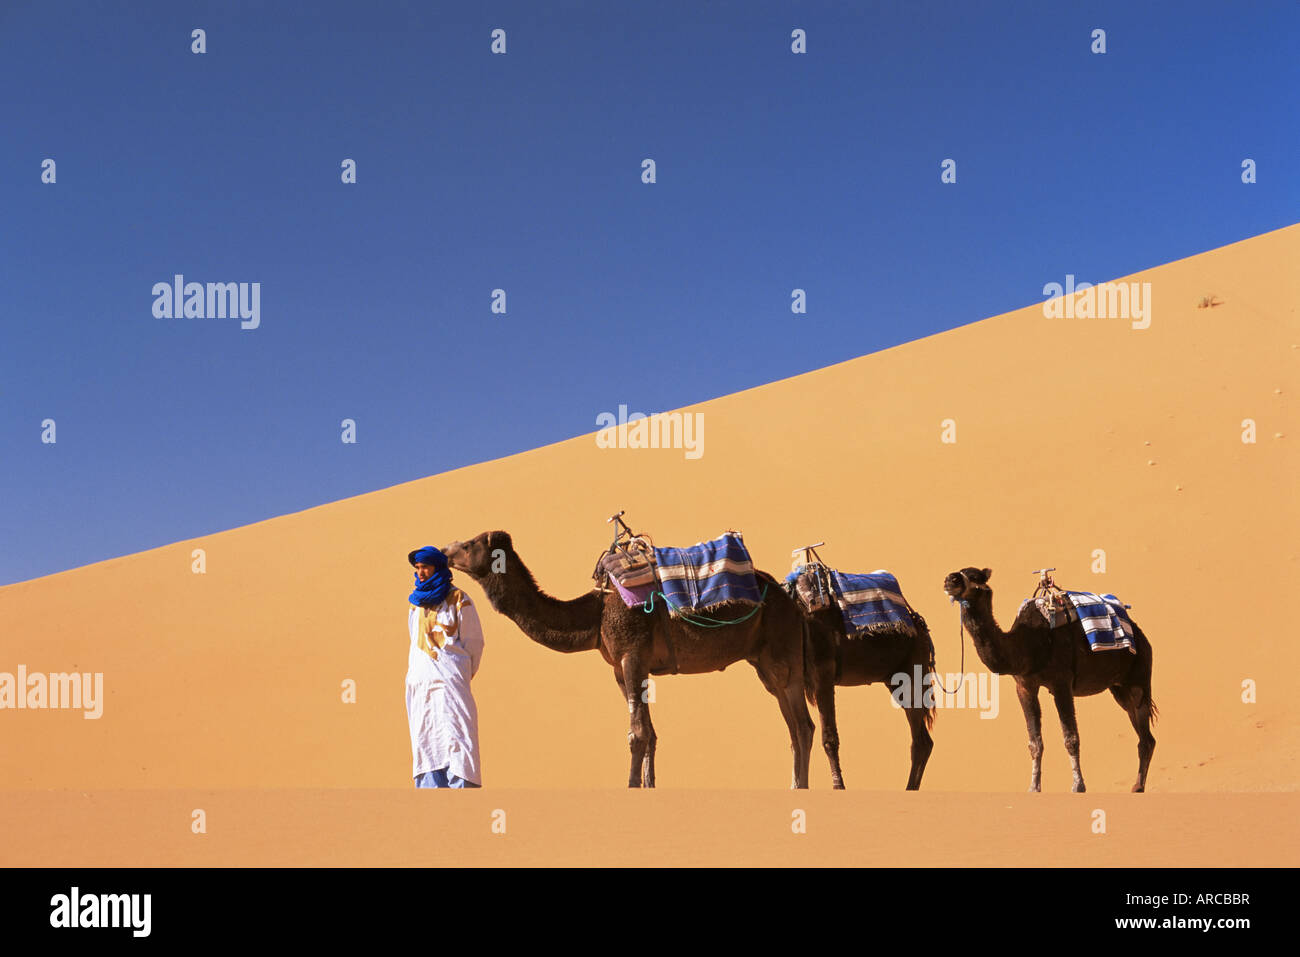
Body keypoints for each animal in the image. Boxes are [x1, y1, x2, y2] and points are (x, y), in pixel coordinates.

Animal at [441, 530, 816, 785]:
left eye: (470, 544)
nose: (443, 551)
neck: (596, 613)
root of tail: (790, 597)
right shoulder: (624, 669)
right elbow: (649, 734)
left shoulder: (632, 655)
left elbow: (636, 734)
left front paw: (632, 786)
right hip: (764, 663)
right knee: (793, 726)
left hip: (783, 654)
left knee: (803, 724)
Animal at [780, 564, 935, 790]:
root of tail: (921, 627)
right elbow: (799, 733)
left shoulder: (823, 674)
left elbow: (828, 737)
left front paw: (839, 786)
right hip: (895, 680)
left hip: (913, 674)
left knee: (921, 741)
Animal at [946, 566, 1159, 790]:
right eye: (959, 572)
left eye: (974, 576)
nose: (950, 579)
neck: (1028, 644)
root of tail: (1140, 634)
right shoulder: (1024, 686)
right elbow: (1035, 743)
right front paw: (1034, 787)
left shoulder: (1061, 682)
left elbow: (1071, 738)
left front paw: (1078, 786)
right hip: (1118, 687)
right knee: (1141, 730)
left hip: (1139, 675)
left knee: (1145, 734)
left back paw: (1138, 787)